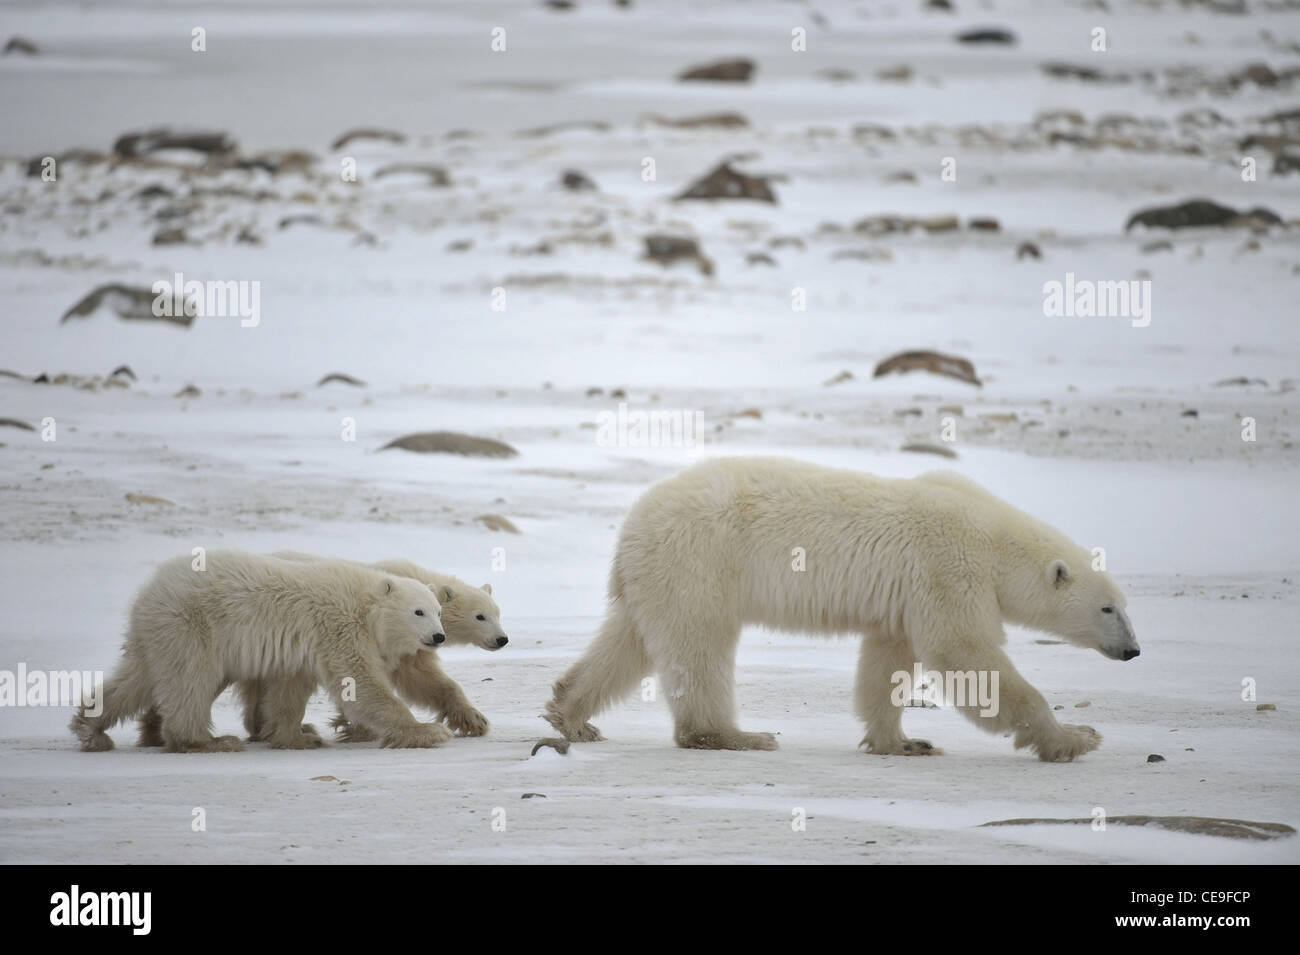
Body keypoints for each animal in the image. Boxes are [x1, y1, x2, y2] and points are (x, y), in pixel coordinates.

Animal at [546, 454, 1138, 764]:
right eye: (1108, 609)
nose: (1133, 650)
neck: (993, 538)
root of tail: (631, 527)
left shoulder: (907, 597)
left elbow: (887, 661)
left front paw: (903, 741)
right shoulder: (949, 567)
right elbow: (965, 654)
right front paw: (1075, 738)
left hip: (659, 578)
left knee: (629, 642)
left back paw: (571, 715)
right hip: (699, 561)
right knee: (701, 647)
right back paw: (738, 735)